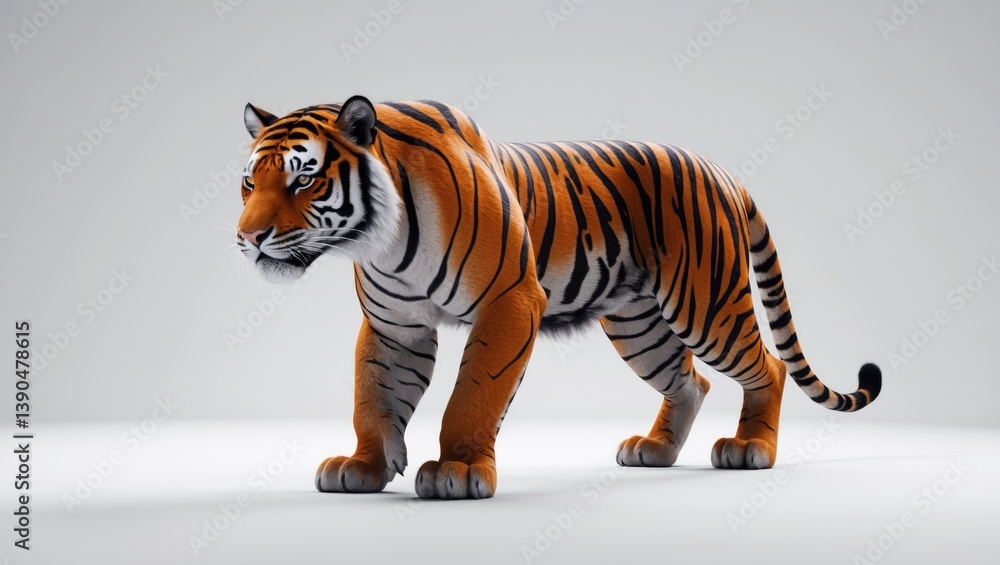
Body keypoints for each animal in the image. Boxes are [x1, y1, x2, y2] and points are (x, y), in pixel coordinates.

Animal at [235, 95, 881, 500]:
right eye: (249, 181)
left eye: (303, 178)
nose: (248, 237)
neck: (379, 239)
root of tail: (723, 172)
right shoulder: (395, 325)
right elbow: (373, 396)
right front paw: (364, 466)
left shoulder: (509, 302)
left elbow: (472, 395)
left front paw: (457, 470)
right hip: (638, 326)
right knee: (690, 382)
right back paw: (655, 450)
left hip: (706, 305)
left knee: (768, 366)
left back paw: (750, 448)